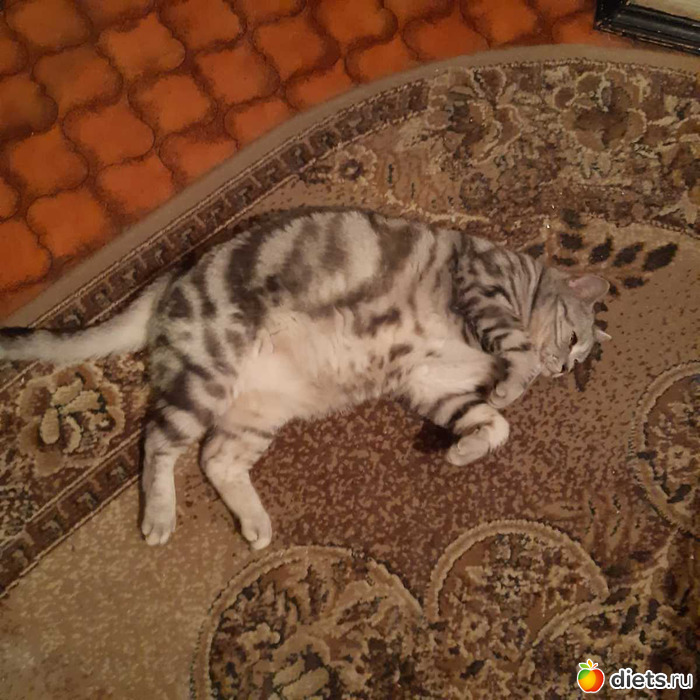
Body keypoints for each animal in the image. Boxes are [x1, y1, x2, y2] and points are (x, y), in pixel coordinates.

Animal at [0, 208, 610, 549]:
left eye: (578, 358)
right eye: (575, 342)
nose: (565, 368)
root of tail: (172, 280)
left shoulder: (430, 384)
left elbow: (491, 425)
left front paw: (464, 450)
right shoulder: (482, 291)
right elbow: (514, 357)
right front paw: (514, 383)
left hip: (257, 410)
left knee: (215, 459)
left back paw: (256, 525)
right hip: (206, 380)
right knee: (157, 444)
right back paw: (159, 517)